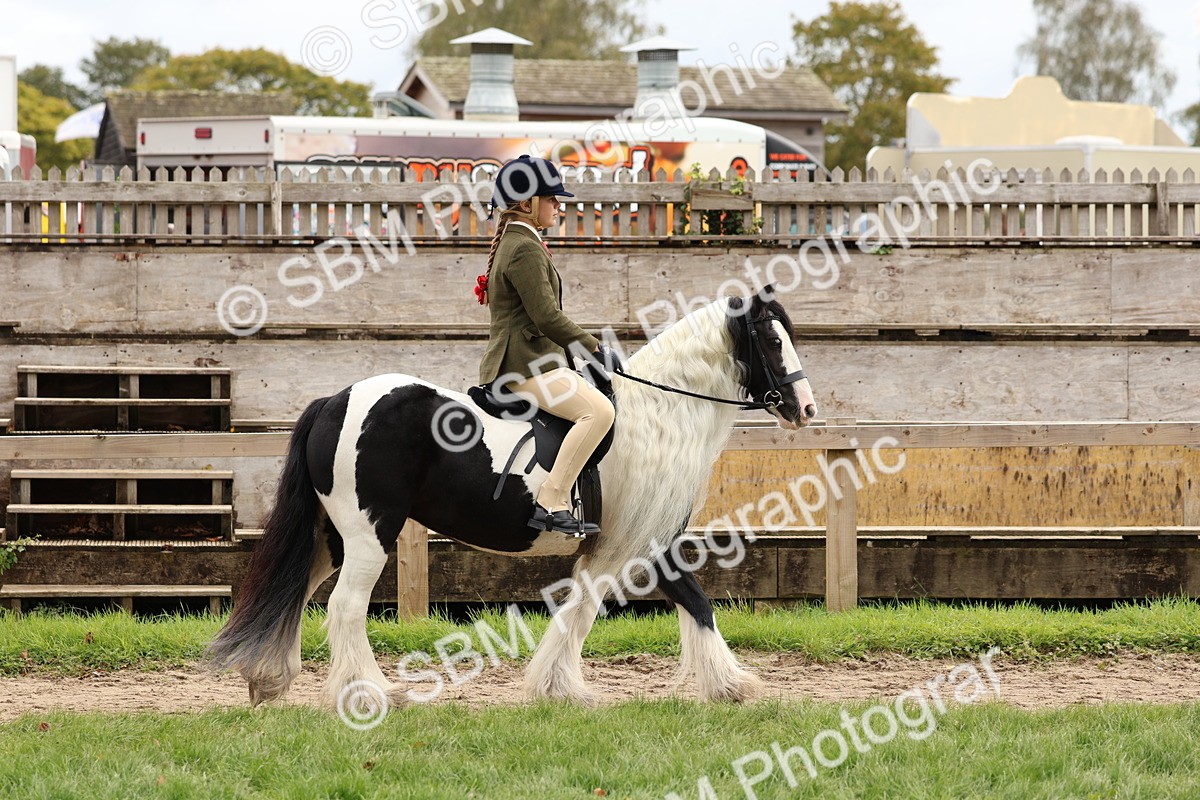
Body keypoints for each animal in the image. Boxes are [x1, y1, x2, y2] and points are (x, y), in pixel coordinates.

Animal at [207, 287, 818, 708]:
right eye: (772, 340)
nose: (806, 409)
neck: (660, 414)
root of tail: (334, 401)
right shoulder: (638, 542)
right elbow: (685, 603)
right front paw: (734, 685)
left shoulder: (630, 545)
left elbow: (597, 610)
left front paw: (558, 688)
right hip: (368, 535)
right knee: (345, 607)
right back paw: (371, 694)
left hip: (333, 536)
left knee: (296, 589)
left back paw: (268, 680)